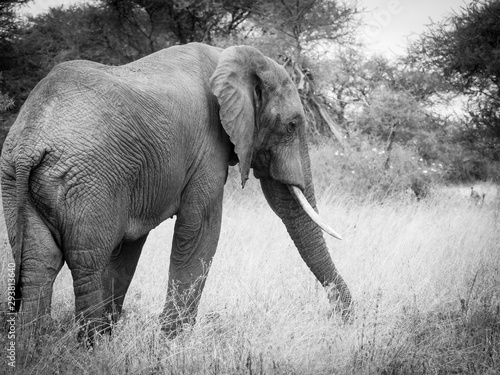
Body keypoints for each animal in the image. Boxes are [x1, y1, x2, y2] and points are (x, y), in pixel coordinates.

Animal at [0, 41, 352, 340]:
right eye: (292, 126)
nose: (341, 320)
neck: (230, 56)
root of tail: (30, 141)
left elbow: (129, 248)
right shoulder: (207, 144)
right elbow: (201, 230)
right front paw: (172, 342)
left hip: (17, 181)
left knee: (38, 265)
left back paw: (37, 348)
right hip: (88, 178)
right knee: (87, 262)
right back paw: (89, 347)